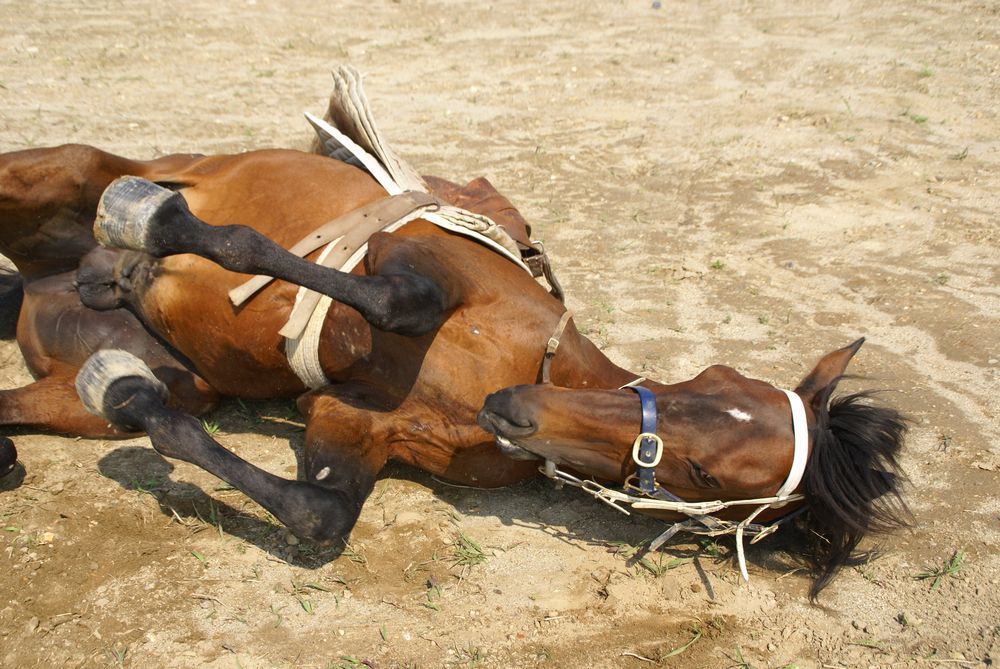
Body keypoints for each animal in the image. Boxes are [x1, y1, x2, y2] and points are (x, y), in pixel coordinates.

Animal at [0, 132, 908, 600]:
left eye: (701, 472)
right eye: (708, 379)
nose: (517, 410)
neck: (523, 360)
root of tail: (49, 279)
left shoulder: (352, 423)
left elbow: (318, 514)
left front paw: (125, 386)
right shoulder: (416, 260)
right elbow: (382, 299)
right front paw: (161, 226)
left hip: (149, 372)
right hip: (65, 171)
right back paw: (136, 219)